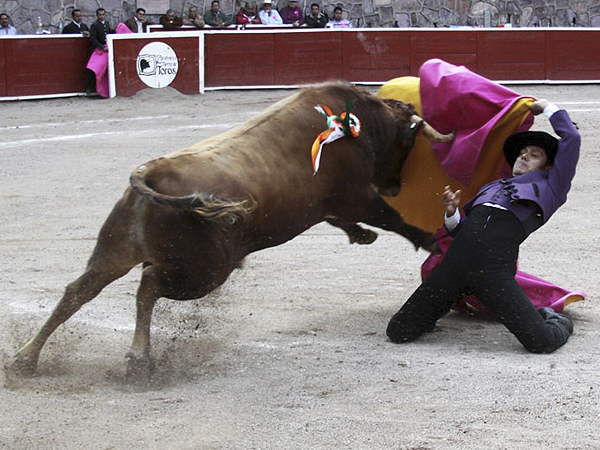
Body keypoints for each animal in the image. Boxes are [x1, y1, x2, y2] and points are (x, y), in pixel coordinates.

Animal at [12, 82, 453, 379]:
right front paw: (430, 240)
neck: (357, 120)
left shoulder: (332, 205)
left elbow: (348, 221)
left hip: (114, 251)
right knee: (148, 285)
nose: (395, 186)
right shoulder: (356, 195)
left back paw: (25, 358)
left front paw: (363, 236)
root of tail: (151, 171)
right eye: (406, 144)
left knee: (78, 291)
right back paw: (139, 361)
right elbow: (392, 219)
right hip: (204, 271)